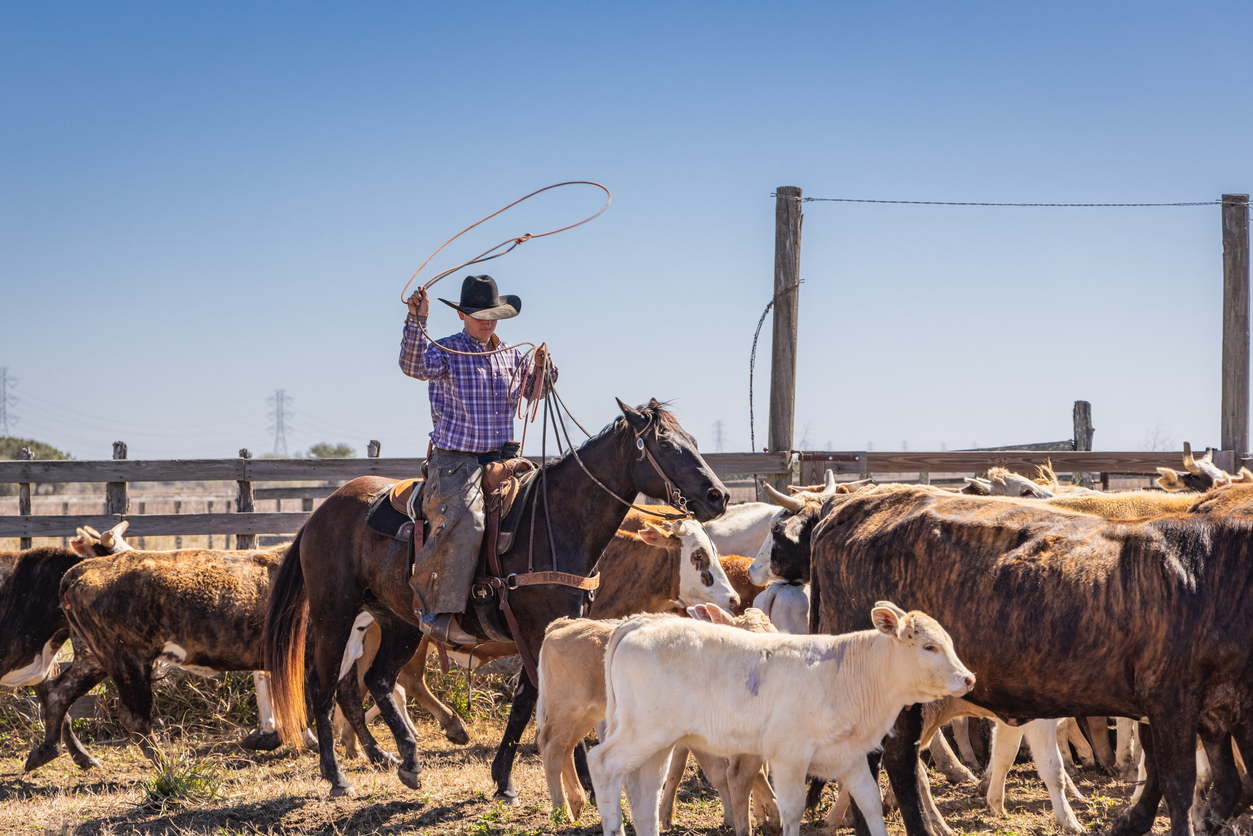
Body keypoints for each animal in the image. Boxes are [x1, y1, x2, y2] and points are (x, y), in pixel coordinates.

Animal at [587, 602, 974, 836]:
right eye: (928, 646)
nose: (968, 678)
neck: (845, 674)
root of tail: (640, 622)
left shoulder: (849, 757)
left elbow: (871, 804)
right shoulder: (789, 757)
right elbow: (791, 810)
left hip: (659, 743)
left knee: (645, 794)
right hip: (643, 733)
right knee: (601, 764)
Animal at [809, 484, 1253, 836]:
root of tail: (860, 501)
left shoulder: (1220, 708)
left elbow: (1227, 783)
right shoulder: (1171, 700)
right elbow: (1179, 784)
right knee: (895, 759)